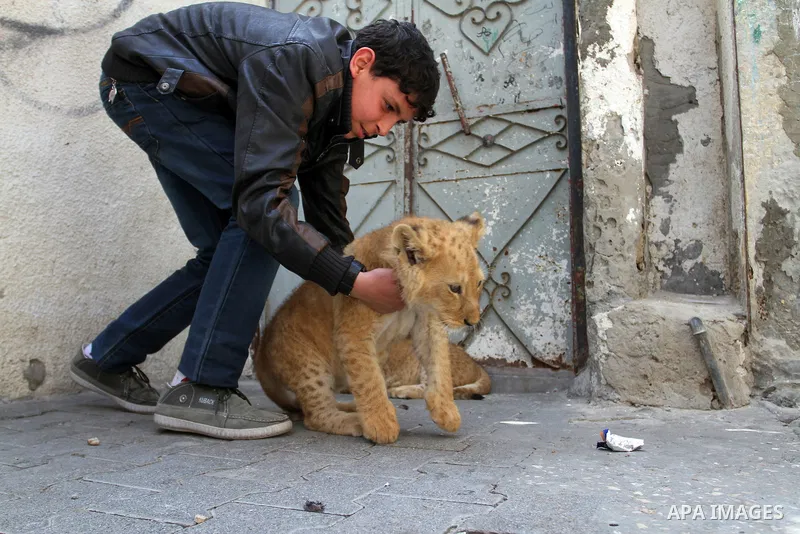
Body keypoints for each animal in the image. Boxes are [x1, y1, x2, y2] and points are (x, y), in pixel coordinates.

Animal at [252, 213, 489, 444]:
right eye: (455, 288)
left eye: (478, 283)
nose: (473, 321)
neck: (407, 300)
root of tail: (261, 353)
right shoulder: (353, 332)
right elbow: (369, 379)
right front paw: (380, 424)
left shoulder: (427, 324)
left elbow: (439, 365)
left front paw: (446, 411)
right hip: (309, 364)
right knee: (316, 416)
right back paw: (357, 420)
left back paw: (352, 407)